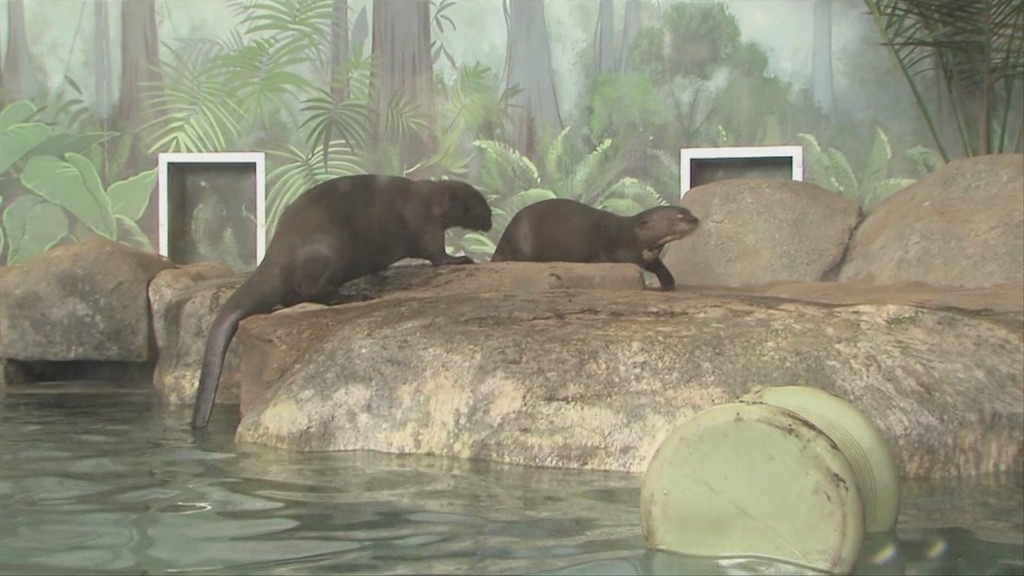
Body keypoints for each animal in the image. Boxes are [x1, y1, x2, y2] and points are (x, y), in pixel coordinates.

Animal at [191, 174, 493, 429]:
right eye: (483, 207)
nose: (490, 223)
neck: (432, 200)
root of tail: (281, 248)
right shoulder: (426, 224)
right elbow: (436, 253)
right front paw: (459, 259)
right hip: (330, 251)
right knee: (310, 291)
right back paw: (353, 295)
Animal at [490, 198, 699, 290]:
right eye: (680, 216)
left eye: (689, 212)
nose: (695, 220)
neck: (627, 236)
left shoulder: (648, 257)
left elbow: (659, 267)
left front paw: (668, 282)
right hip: (522, 241)